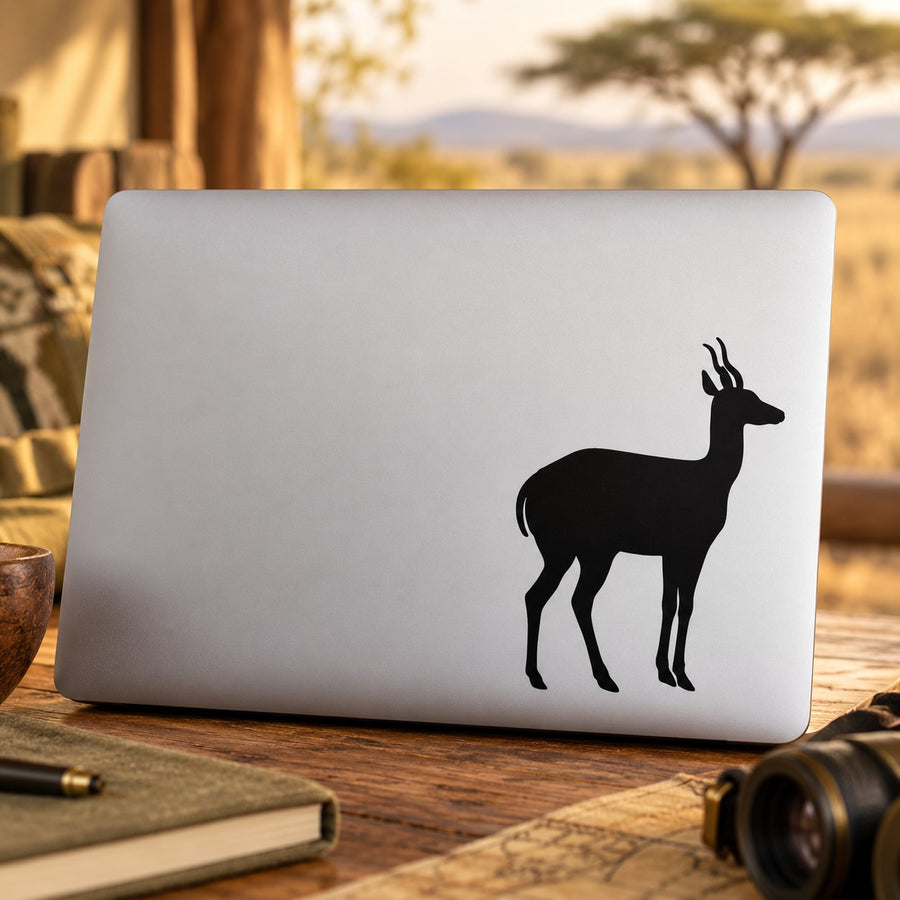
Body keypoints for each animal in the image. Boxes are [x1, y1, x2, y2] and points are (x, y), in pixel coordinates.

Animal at [515, 338, 784, 693]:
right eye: (747, 397)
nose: (780, 413)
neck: (709, 477)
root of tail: (531, 483)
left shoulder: (671, 554)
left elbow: (670, 605)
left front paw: (666, 673)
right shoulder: (692, 550)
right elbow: (683, 605)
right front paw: (680, 675)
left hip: (571, 554)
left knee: (543, 597)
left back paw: (542, 677)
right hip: (584, 553)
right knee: (571, 599)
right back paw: (599, 677)